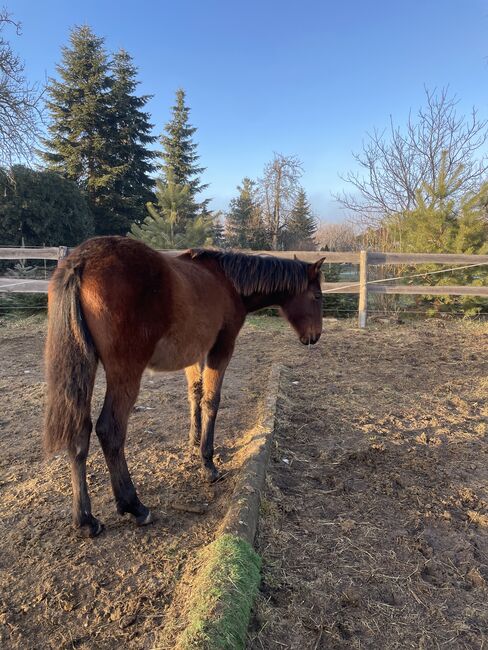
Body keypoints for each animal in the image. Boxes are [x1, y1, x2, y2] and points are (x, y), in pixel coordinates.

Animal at [43, 235, 324, 536]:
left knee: (79, 432)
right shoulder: (220, 349)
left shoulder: (194, 353)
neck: (227, 281)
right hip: (125, 372)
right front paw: (208, 463)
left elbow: (195, 394)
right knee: (110, 430)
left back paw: (85, 519)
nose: (315, 336)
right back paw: (134, 506)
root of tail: (81, 261)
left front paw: (193, 439)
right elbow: (212, 399)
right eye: (318, 296)